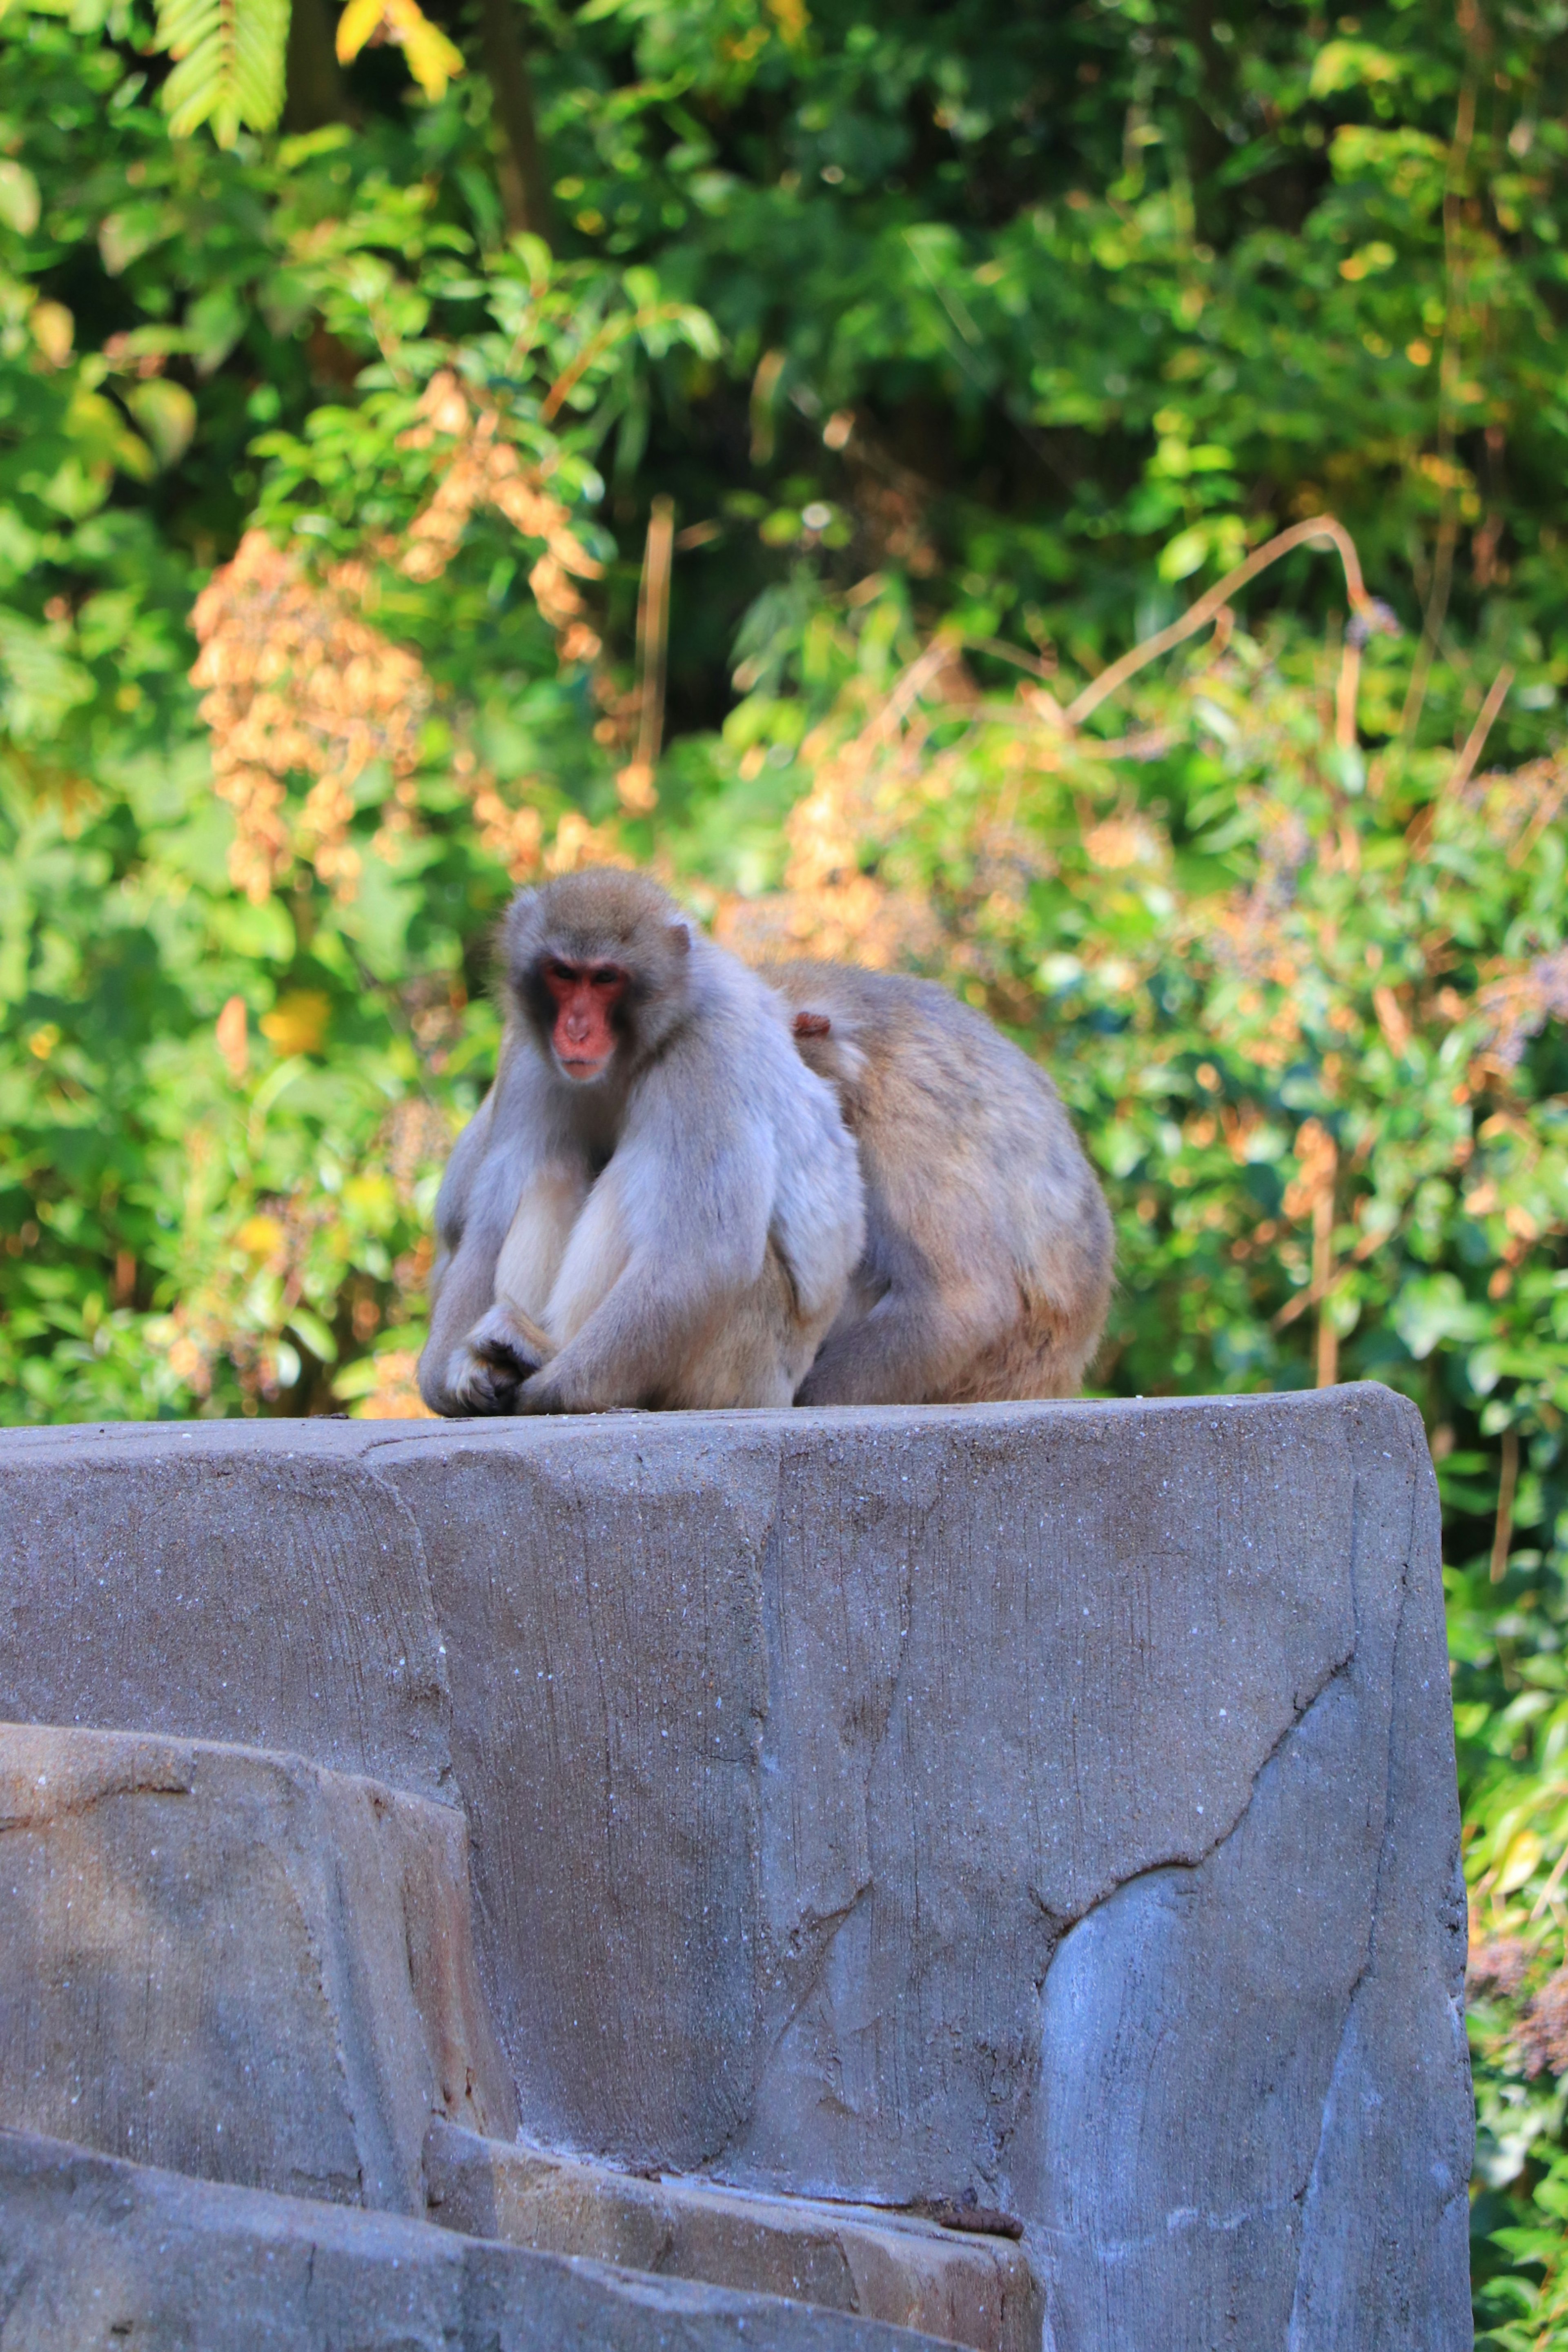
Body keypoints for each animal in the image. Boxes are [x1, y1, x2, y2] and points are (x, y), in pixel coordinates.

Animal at [416, 865, 865, 1411]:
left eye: (606, 979)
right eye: (563, 974)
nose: (576, 1030)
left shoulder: (703, 1056)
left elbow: (704, 1256)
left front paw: (549, 1387)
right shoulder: (527, 1058)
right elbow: (488, 1225)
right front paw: (453, 1376)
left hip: (743, 1362)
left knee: (641, 1175)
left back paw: (543, 1351)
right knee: (554, 1167)